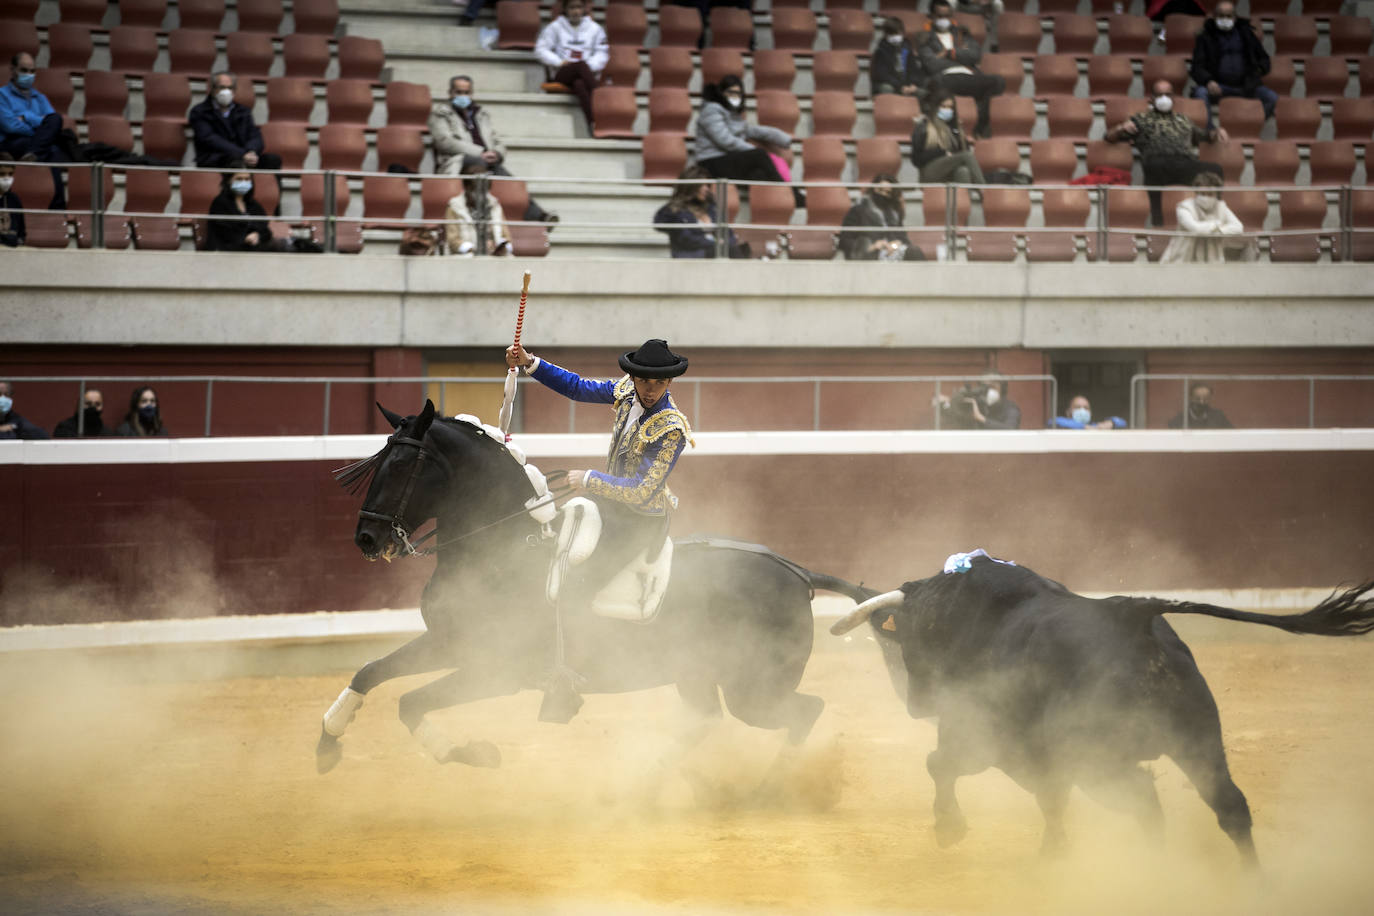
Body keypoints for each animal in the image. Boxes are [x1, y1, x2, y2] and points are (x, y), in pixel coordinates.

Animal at [316, 403, 862, 780]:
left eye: (403, 466)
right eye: (380, 460)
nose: (367, 538)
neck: (504, 545)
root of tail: (796, 573)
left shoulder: (496, 670)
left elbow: (410, 702)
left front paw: (475, 753)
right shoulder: (449, 643)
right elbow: (371, 672)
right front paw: (326, 745)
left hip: (756, 686)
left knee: (804, 712)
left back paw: (766, 789)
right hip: (700, 675)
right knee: (707, 719)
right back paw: (645, 787)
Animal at [824, 560, 1374, 867]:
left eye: (907, 639)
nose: (916, 702)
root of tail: (1131, 615)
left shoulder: (982, 737)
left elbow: (941, 764)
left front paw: (950, 828)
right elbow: (1053, 799)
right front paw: (1056, 852)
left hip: (1098, 756)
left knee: (1144, 800)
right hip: (1197, 740)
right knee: (1227, 807)